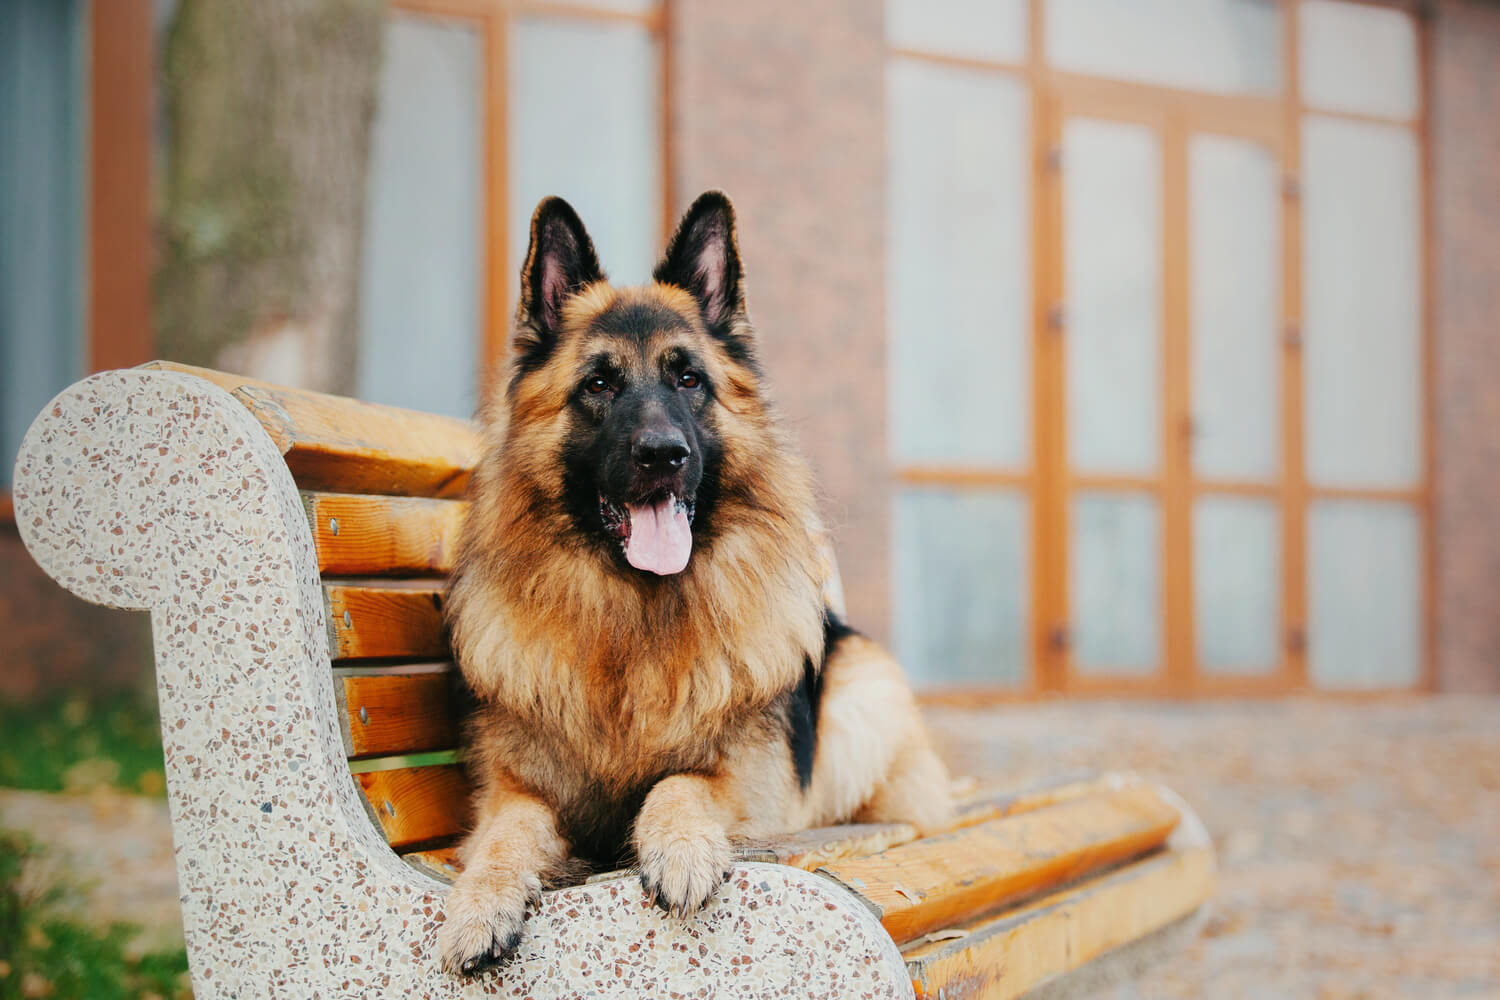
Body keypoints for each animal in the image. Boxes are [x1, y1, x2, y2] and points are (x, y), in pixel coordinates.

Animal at [441, 191, 948, 971]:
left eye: (689, 380)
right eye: (599, 383)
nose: (663, 454)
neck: (634, 618)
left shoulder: (752, 782)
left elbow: (683, 780)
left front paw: (679, 846)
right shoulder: (514, 791)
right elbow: (504, 836)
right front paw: (480, 903)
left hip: (861, 699)